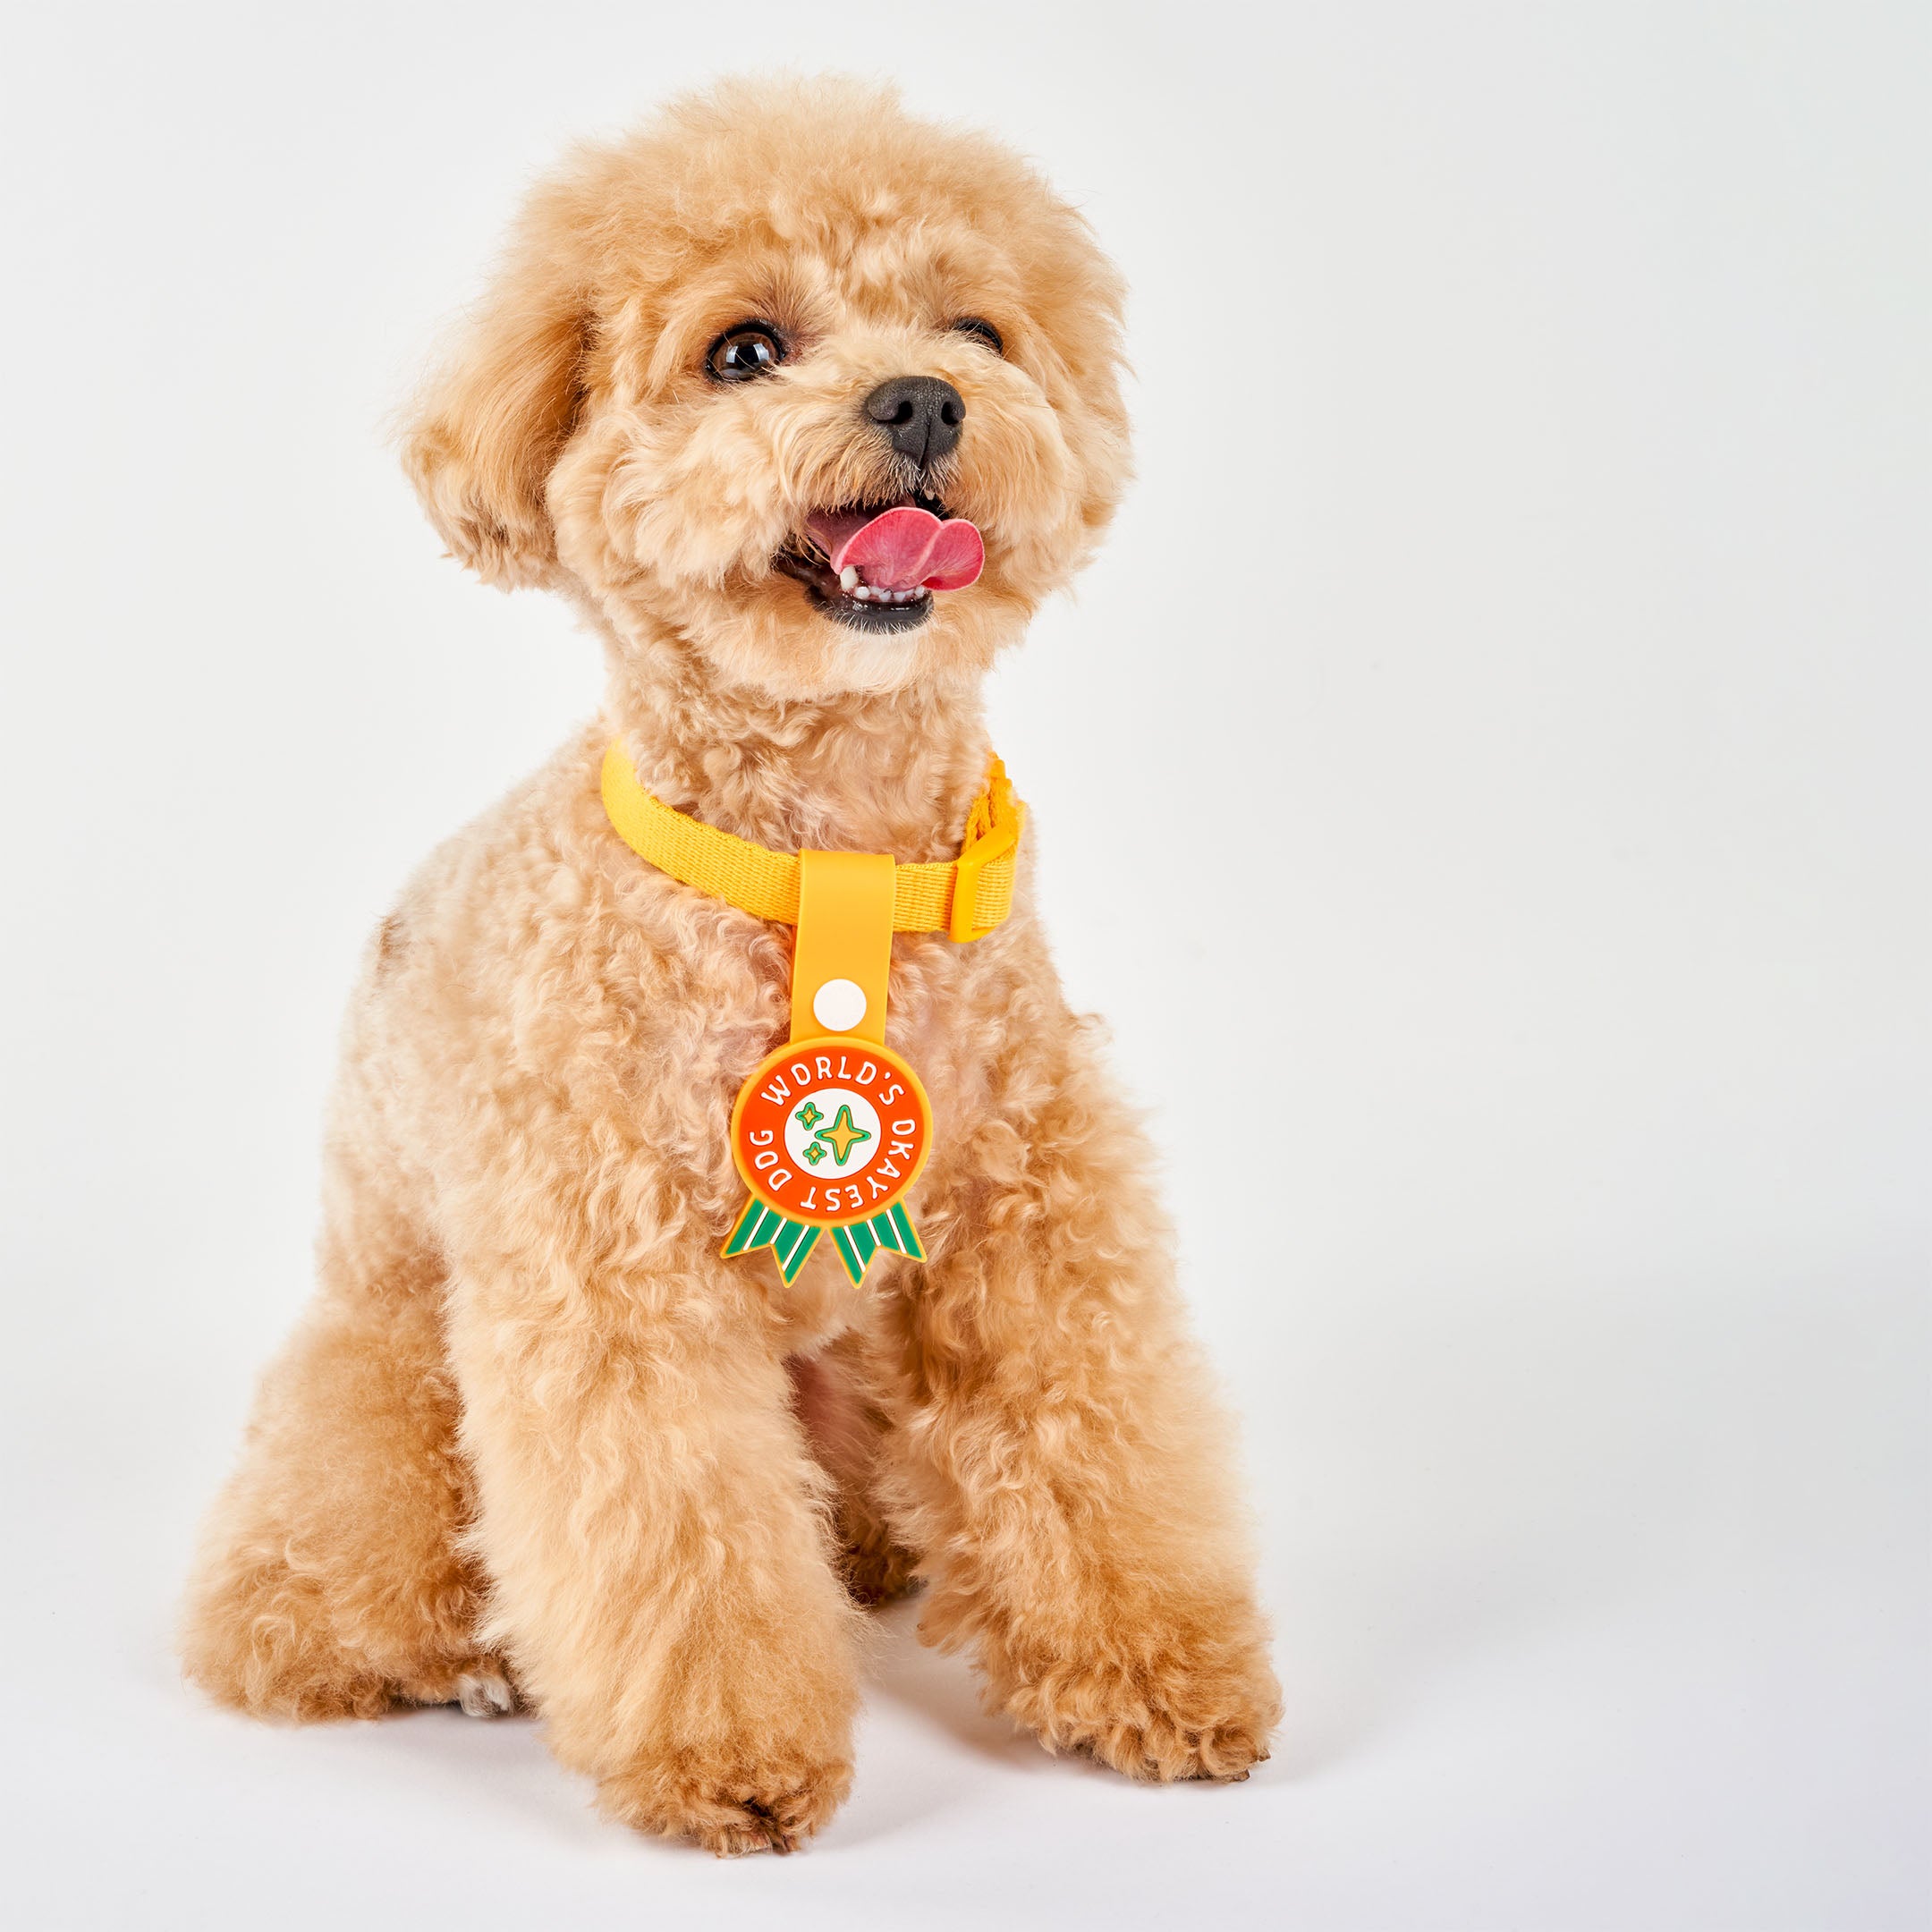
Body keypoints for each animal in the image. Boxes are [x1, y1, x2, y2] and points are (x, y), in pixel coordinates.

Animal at [184, 75, 1283, 1854]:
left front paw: (1160, 1675)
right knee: (304, 1591)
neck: (823, 859)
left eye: (975, 327)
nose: (921, 398)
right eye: (744, 349)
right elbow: (678, 1535)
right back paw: (439, 1651)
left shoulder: (1032, 1220)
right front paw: (732, 1760)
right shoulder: (609, 1279)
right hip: (396, 1371)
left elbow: (1089, 1442)